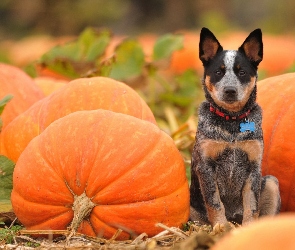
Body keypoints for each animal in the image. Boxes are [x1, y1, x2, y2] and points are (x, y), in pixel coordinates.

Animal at [190, 27, 282, 227]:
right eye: (218, 72)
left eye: (242, 72)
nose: (230, 90)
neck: (232, 121)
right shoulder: (206, 166)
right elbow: (214, 202)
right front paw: (221, 227)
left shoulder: (253, 166)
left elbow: (252, 205)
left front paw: (248, 228)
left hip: (271, 183)